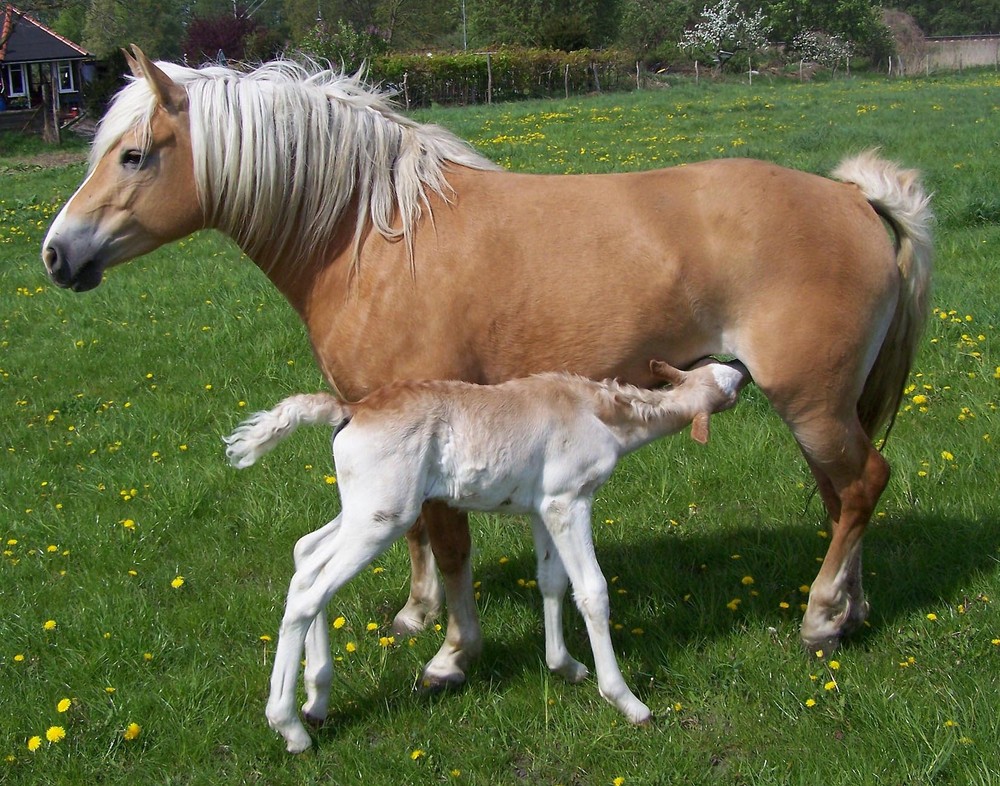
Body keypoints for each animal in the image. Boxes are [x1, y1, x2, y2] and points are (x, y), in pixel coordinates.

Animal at [225, 356, 744, 748]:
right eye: (726, 385)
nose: (740, 368)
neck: (598, 412)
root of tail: (349, 410)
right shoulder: (568, 500)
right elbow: (592, 591)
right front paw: (627, 701)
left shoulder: (540, 507)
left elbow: (551, 581)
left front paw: (565, 666)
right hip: (382, 517)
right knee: (308, 593)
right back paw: (291, 729)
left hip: (364, 509)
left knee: (306, 555)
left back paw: (316, 701)